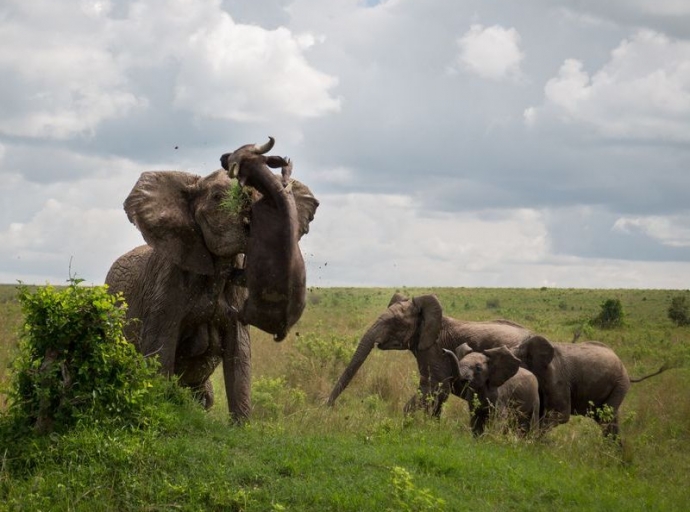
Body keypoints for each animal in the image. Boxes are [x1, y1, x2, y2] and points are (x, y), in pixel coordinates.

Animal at [105, 137, 319, 421]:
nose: (228, 157)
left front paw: (241, 426)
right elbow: (159, 349)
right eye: (218, 198)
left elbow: (240, 354)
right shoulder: (166, 285)